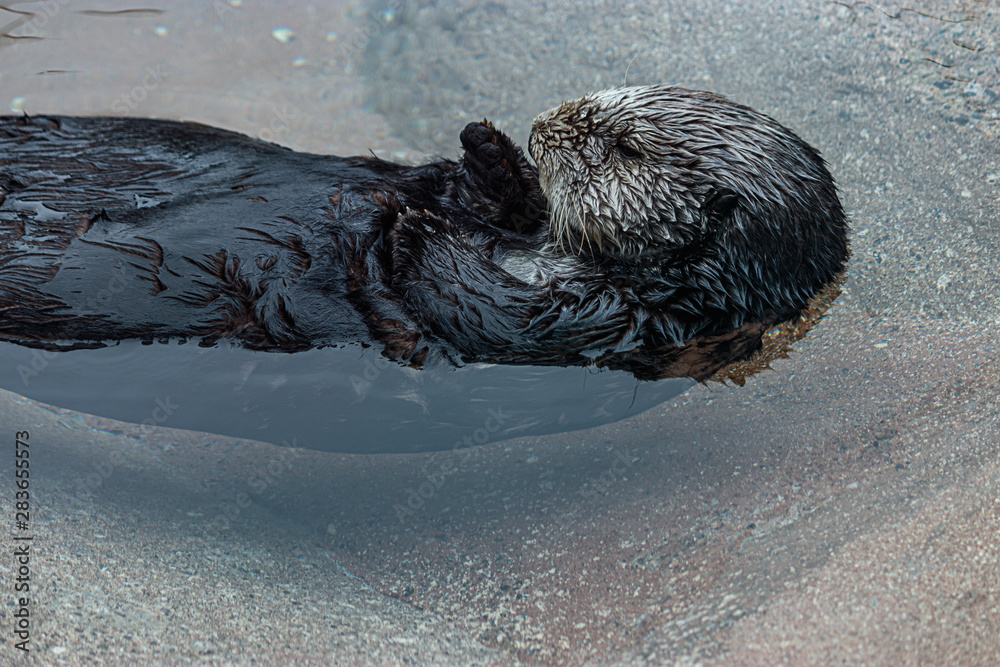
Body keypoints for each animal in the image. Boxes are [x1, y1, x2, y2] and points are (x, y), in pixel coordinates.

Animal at [0, 85, 848, 382]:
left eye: (628, 148)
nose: (545, 125)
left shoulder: (625, 324)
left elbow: (484, 310)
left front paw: (403, 224)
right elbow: (482, 204)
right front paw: (486, 151)